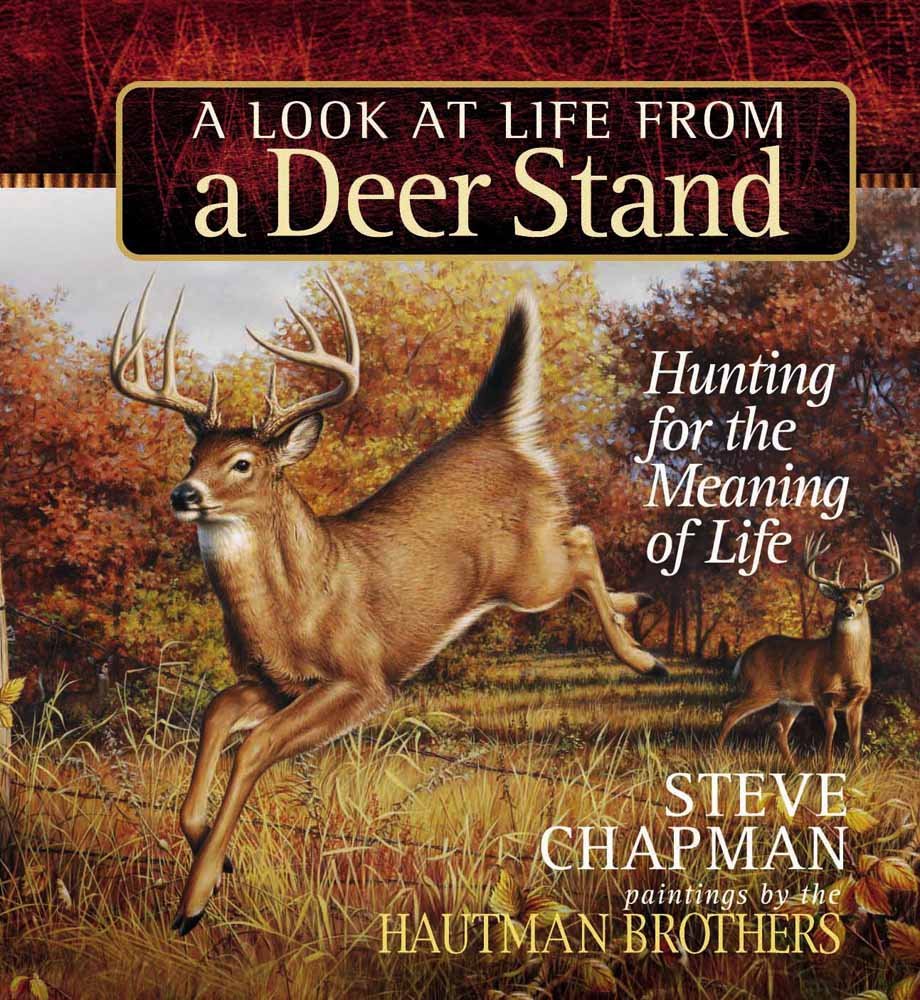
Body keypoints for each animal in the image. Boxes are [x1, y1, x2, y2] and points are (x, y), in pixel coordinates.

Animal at [108, 273, 668, 934]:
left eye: (241, 463)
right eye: (193, 458)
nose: (183, 493)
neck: (295, 603)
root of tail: (493, 431)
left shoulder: (362, 678)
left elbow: (255, 747)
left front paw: (194, 901)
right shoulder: (275, 683)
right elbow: (218, 714)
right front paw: (219, 867)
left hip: (529, 574)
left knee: (579, 542)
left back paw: (646, 659)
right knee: (583, 549)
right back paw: (636, 604)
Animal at [717, 531, 901, 770]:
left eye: (860, 600)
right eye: (840, 600)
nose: (849, 611)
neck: (846, 667)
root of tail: (745, 654)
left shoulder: (859, 700)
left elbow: (855, 737)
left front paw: (857, 770)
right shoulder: (821, 694)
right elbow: (831, 728)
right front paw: (827, 769)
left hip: (789, 700)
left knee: (777, 727)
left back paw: (794, 768)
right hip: (761, 686)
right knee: (731, 709)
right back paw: (715, 755)